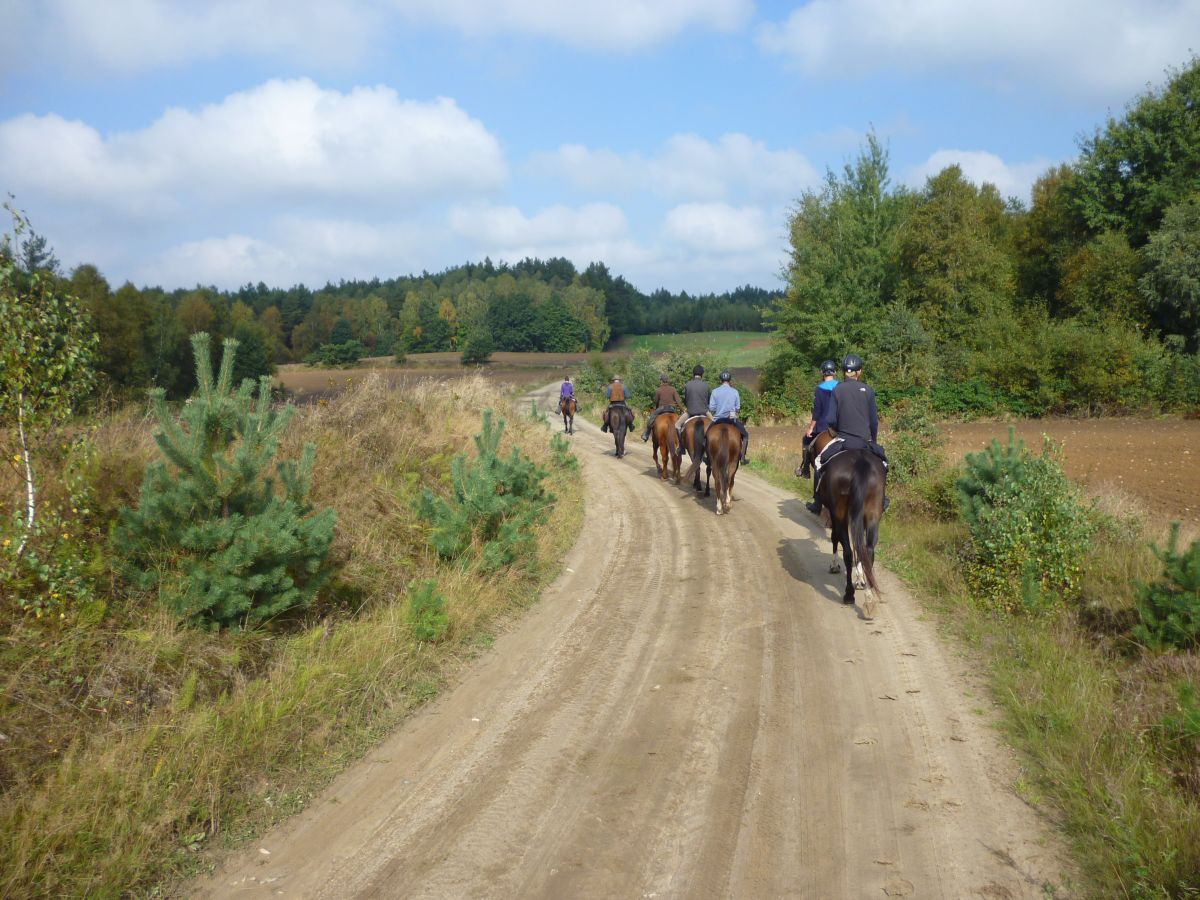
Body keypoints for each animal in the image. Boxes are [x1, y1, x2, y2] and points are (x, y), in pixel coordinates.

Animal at [816, 448, 886, 617]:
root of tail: (860, 461)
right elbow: (859, 549)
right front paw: (860, 580)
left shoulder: (834, 514)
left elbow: (835, 538)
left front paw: (834, 565)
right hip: (873, 514)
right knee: (868, 550)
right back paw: (869, 598)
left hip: (840, 514)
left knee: (847, 552)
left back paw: (849, 594)